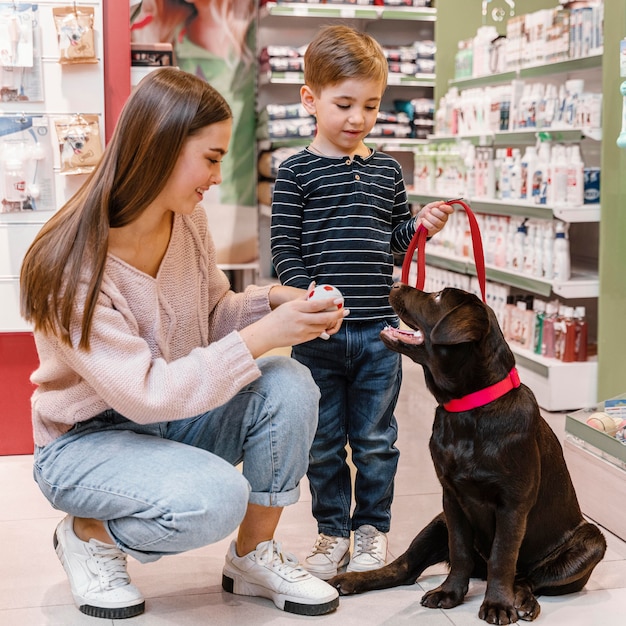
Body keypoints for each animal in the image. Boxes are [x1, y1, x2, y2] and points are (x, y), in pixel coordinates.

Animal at [330, 282, 608, 620]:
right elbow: (460, 550)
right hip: (438, 521)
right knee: (405, 568)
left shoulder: (512, 504)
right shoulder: (451, 498)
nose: (395, 284)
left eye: (437, 297)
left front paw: (498, 604)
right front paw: (450, 592)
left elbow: (503, 557)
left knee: (527, 578)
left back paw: (523, 601)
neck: (469, 409)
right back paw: (352, 580)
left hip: (592, 542)